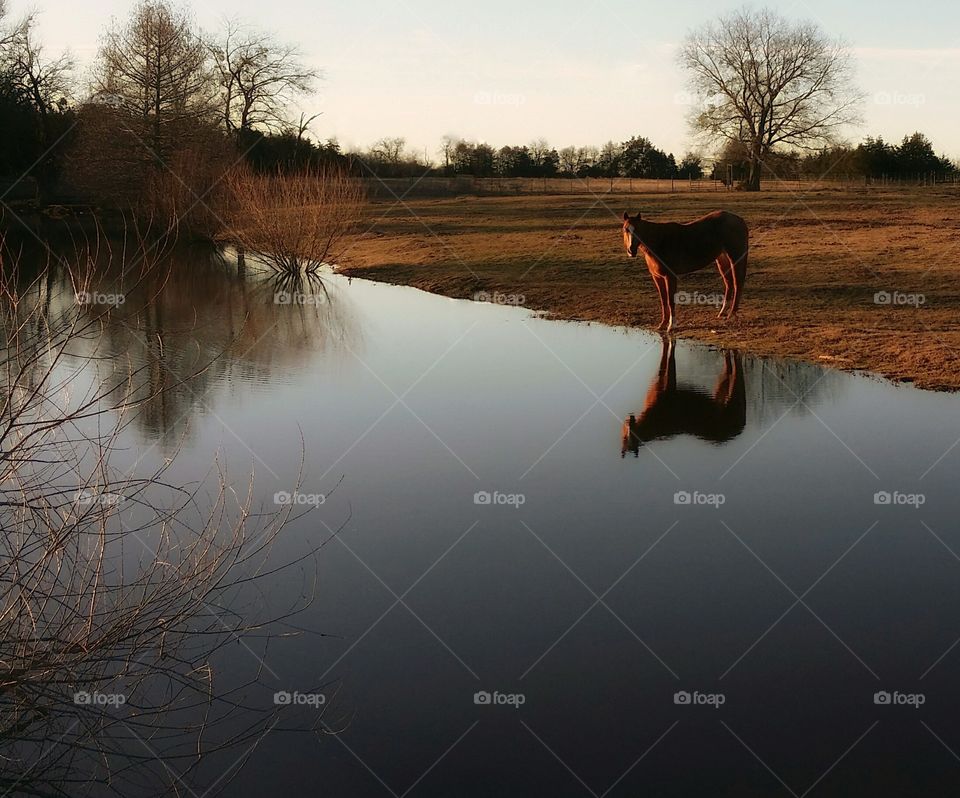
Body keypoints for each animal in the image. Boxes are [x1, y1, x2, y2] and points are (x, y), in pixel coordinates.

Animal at [620, 336, 748, 460]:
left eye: (625, 438)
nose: (627, 421)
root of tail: (741, 428)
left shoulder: (670, 387)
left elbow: (670, 357)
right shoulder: (661, 384)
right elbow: (663, 358)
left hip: (733, 397)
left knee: (737, 366)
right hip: (720, 393)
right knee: (728, 368)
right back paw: (725, 349)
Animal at [624, 211, 752, 332]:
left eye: (638, 230)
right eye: (625, 229)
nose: (631, 251)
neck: (659, 242)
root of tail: (739, 219)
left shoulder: (670, 277)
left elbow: (670, 301)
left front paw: (671, 325)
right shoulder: (657, 277)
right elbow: (663, 301)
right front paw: (662, 324)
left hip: (735, 258)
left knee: (737, 283)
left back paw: (732, 314)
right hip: (722, 259)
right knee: (729, 283)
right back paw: (722, 312)